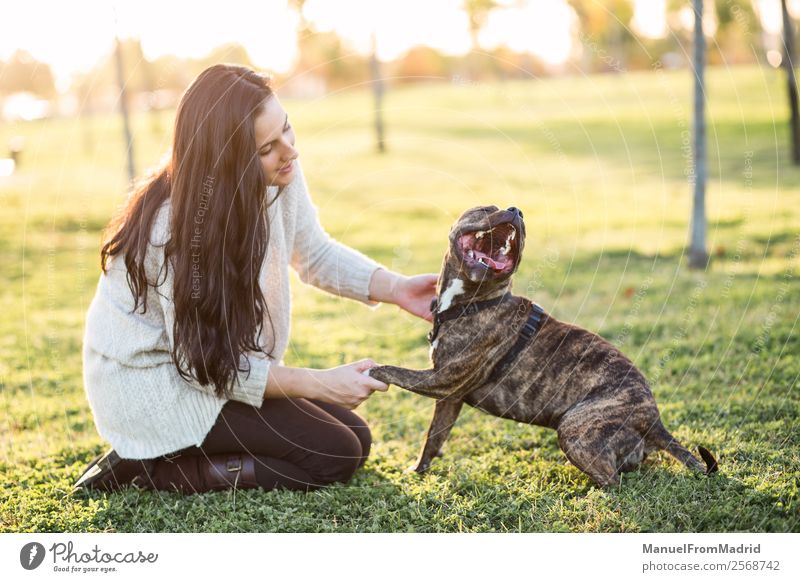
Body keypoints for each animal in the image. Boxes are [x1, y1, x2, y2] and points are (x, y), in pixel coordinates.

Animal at [368, 205, 720, 488]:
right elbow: (432, 439)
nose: (516, 210)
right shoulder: (449, 398)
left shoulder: (442, 380)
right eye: (486, 208)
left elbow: (396, 371)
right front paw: (418, 472)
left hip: (575, 430)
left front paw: (373, 370)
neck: (472, 301)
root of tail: (654, 420)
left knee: (614, 483)